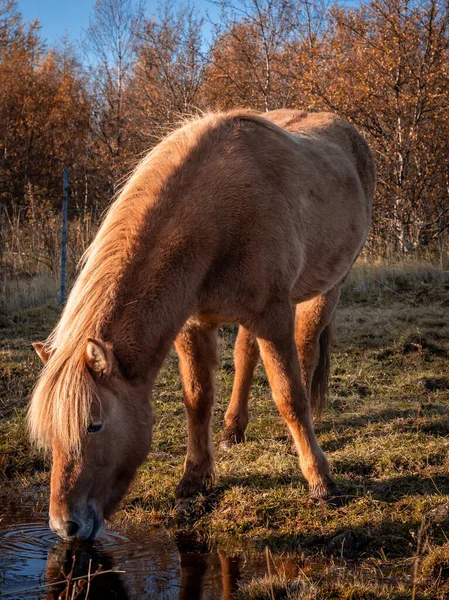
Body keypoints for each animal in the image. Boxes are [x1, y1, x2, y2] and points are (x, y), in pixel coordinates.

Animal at [28, 109, 374, 544]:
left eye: (94, 425)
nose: (65, 525)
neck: (218, 212)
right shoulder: (193, 325)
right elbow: (197, 398)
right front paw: (193, 481)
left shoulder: (273, 314)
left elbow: (289, 397)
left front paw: (321, 483)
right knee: (245, 356)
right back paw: (232, 431)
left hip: (325, 290)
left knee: (306, 352)